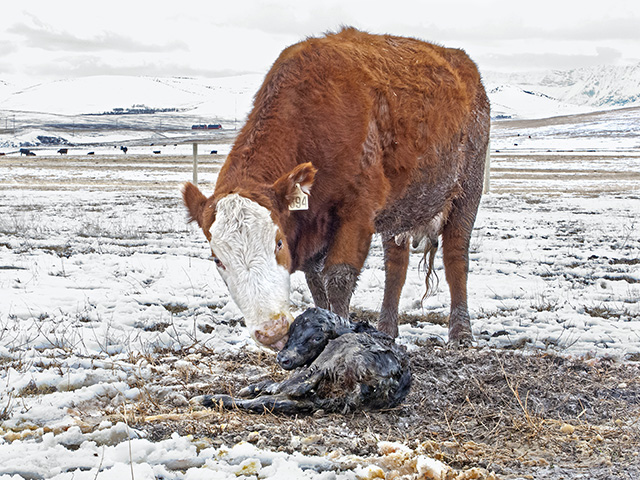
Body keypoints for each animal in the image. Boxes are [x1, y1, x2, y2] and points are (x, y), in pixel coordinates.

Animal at [182, 27, 492, 348]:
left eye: (278, 243)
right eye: (218, 259)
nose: (272, 331)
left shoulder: (357, 212)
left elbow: (339, 278)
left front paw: (340, 331)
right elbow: (317, 285)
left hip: (467, 191)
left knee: (456, 256)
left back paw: (461, 333)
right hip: (400, 210)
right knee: (396, 266)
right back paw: (386, 330)